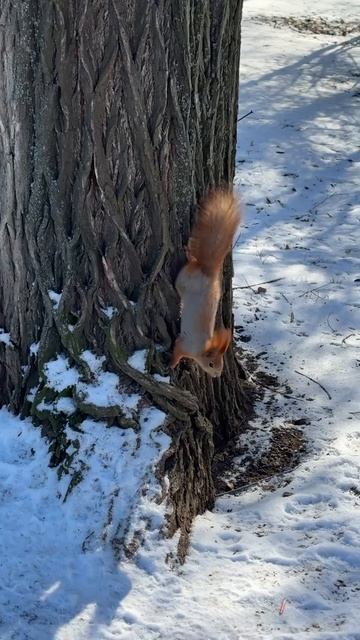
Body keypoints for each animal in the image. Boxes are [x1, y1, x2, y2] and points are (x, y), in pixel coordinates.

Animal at [170, 188, 240, 378]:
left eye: (221, 364)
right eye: (211, 364)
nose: (216, 375)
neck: (202, 348)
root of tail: (208, 271)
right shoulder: (184, 345)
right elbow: (176, 351)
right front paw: (171, 365)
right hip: (183, 281)